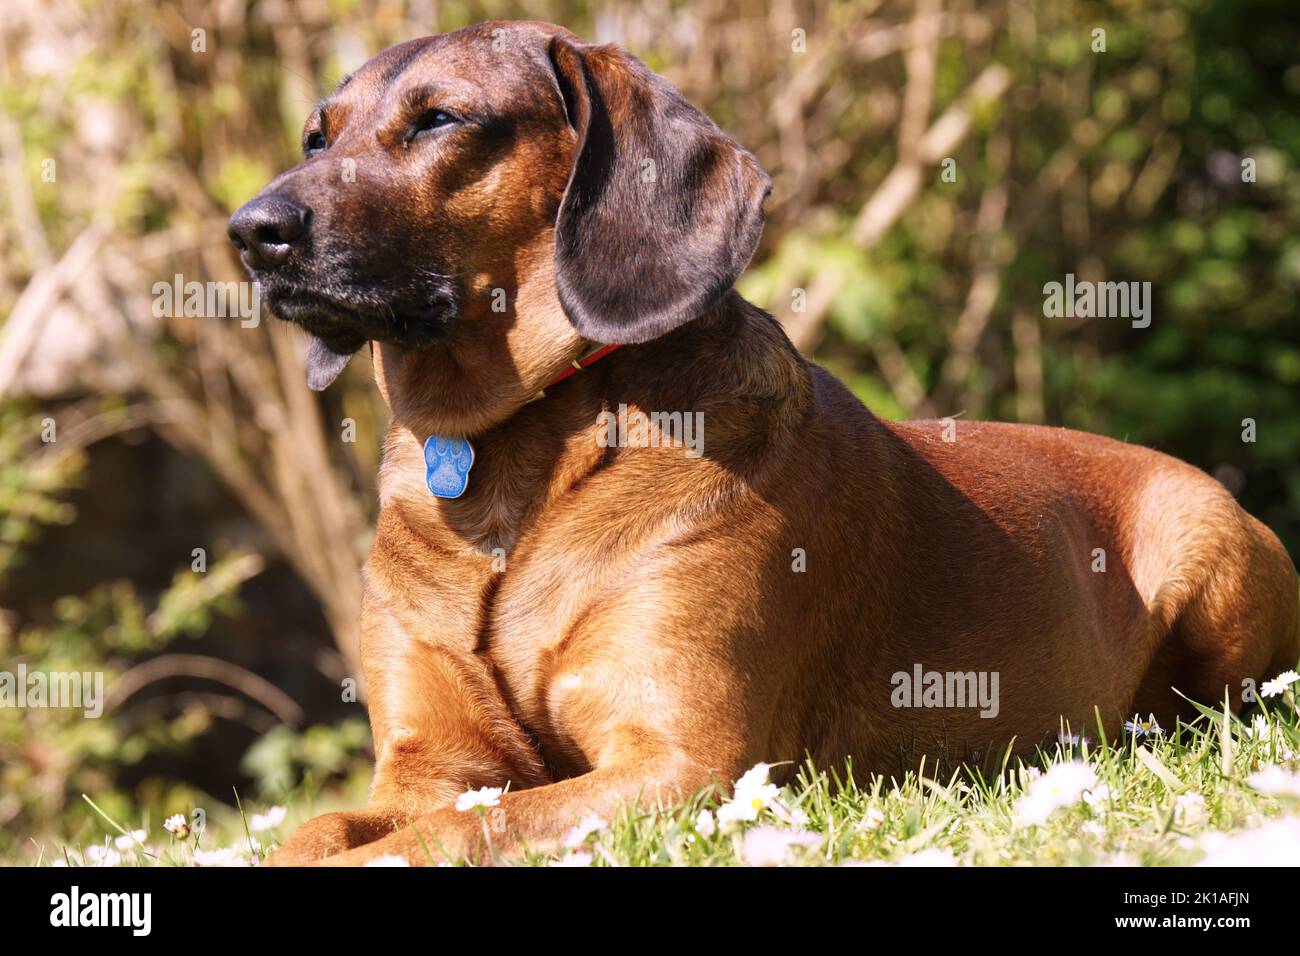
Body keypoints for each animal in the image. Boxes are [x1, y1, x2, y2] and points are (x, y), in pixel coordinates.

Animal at [228, 20, 1294, 868]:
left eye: (441, 119)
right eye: (317, 135)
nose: (250, 229)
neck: (503, 451)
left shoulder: (688, 763)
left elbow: (445, 835)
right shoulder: (431, 766)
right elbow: (323, 828)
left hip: (1212, 554)